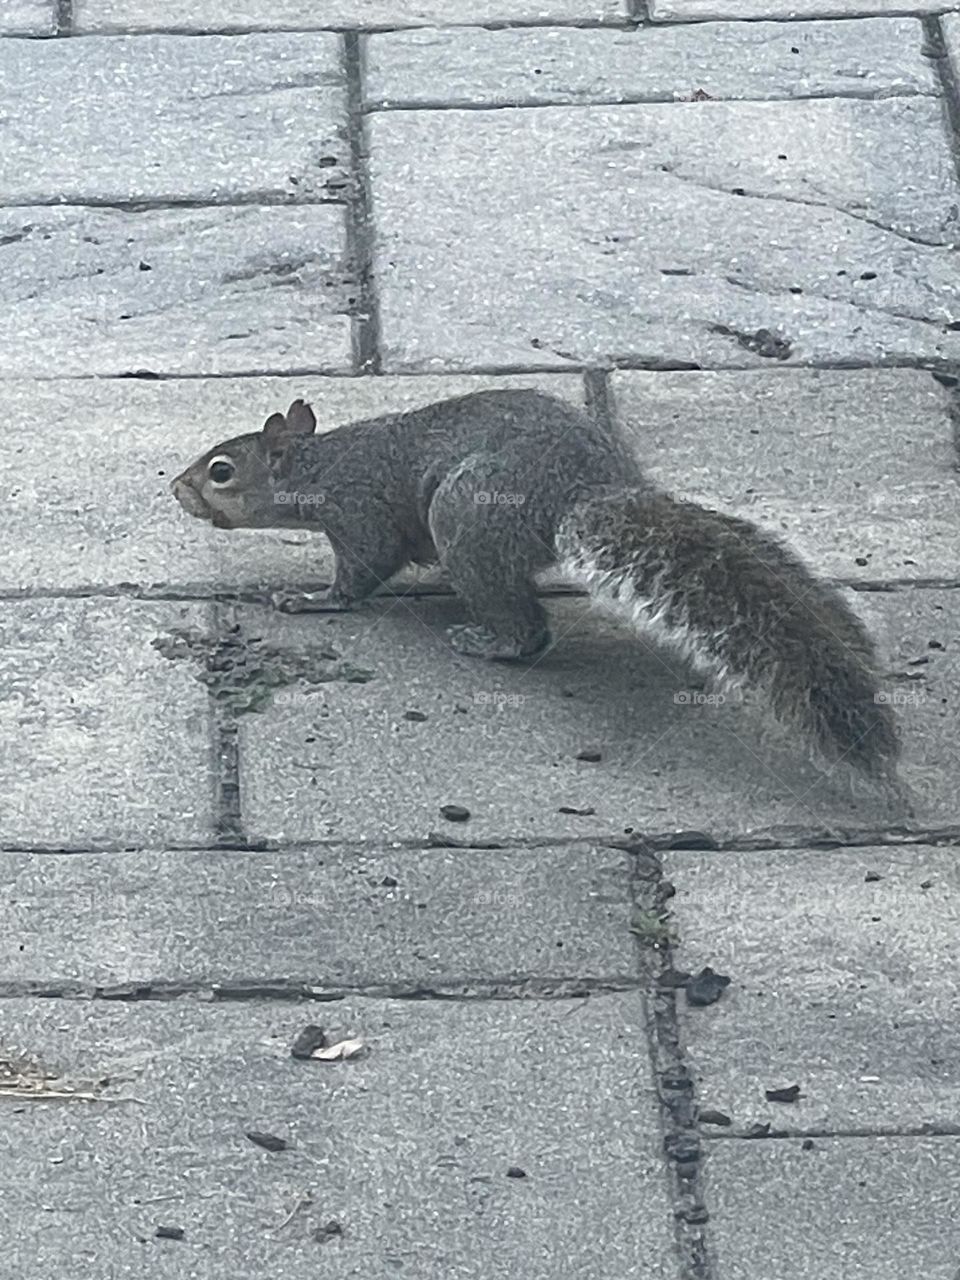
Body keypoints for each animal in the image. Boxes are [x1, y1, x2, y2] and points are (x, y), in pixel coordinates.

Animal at [171, 388, 900, 781]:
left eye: (221, 470)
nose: (176, 489)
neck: (321, 467)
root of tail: (582, 490)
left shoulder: (359, 515)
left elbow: (360, 574)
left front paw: (309, 600)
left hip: (468, 516)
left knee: (529, 630)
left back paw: (487, 639)